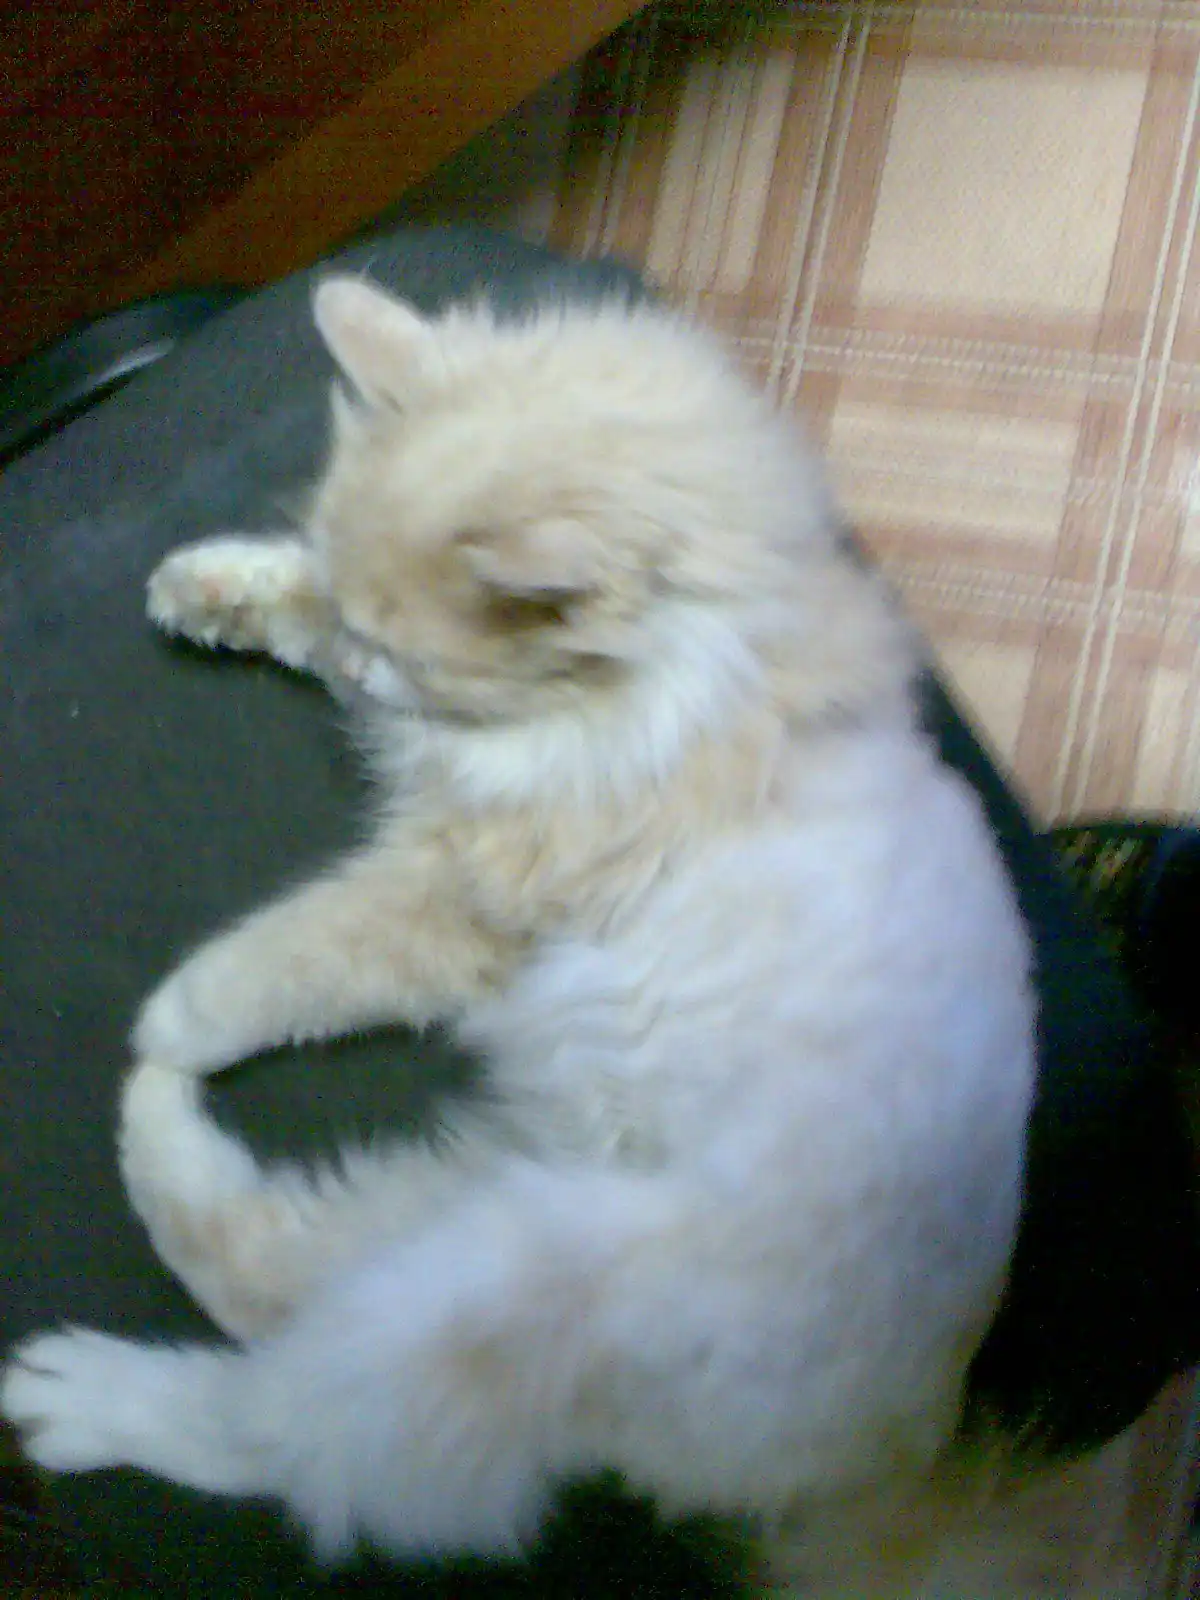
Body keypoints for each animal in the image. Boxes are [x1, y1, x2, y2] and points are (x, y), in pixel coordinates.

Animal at [2, 279, 1035, 1594]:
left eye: (409, 655)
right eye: (366, 632)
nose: (367, 677)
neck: (700, 674)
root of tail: (873, 1473)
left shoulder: (461, 897)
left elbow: (302, 949)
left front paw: (177, 1012)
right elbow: (295, 607)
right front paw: (215, 588)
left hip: (518, 1288)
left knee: (282, 1423)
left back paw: (82, 1371)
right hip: (478, 1216)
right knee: (274, 1272)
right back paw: (151, 1140)